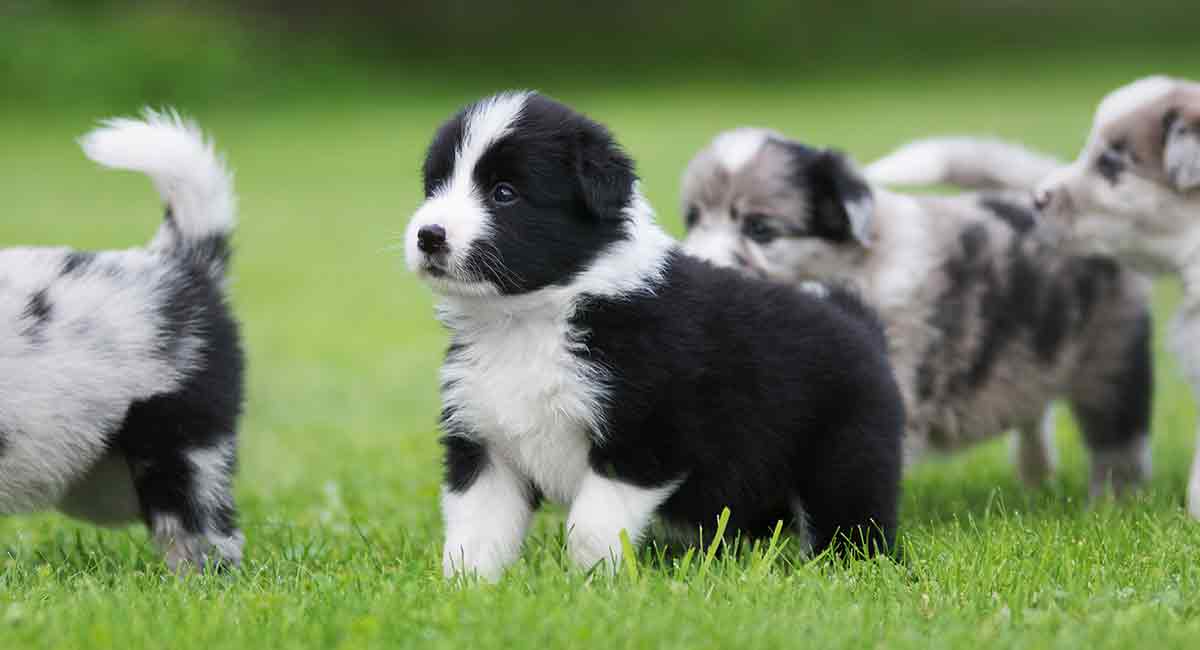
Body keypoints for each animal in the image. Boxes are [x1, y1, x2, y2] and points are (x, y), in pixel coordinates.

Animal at [408, 90, 902, 580]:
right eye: (435, 185)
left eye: (504, 193)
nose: (428, 236)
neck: (530, 318)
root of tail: (858, 321)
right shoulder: (484, 439)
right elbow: (475, 526)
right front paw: (467, 585)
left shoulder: (648, 435)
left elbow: (590, 525)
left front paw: (592, 583)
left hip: (845, 452)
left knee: (850, 518)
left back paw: (843, 567)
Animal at [681, 130, 1147, 501]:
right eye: (693, 218)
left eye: (760, 229)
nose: (694, 267)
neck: (852, 265)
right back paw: (1037, 477)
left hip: (1112, 359)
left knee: (1119, 440)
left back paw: (1111, 503)